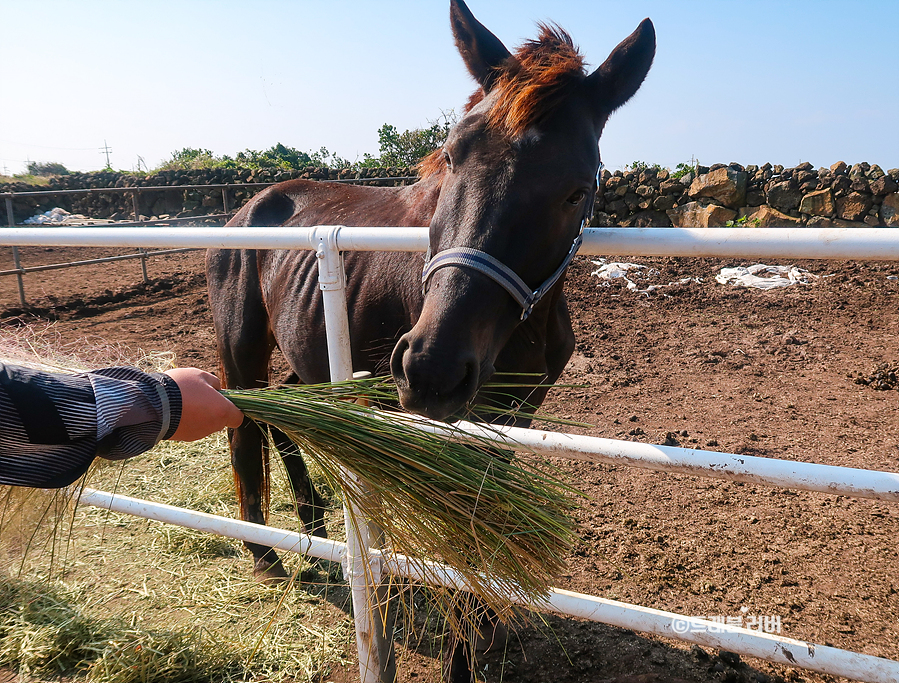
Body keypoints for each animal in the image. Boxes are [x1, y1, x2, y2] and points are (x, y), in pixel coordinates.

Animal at [207, 1, 652, 680]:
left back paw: (312, 522)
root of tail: (252, 205)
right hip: (242, 346)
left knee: (285, 414)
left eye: (577, 188)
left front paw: (483, 627)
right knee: (246, 425)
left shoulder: (509, 417)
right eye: (451, 157)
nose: (431, 370)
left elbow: (479, 520)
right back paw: (265, 554)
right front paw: (459, 645)